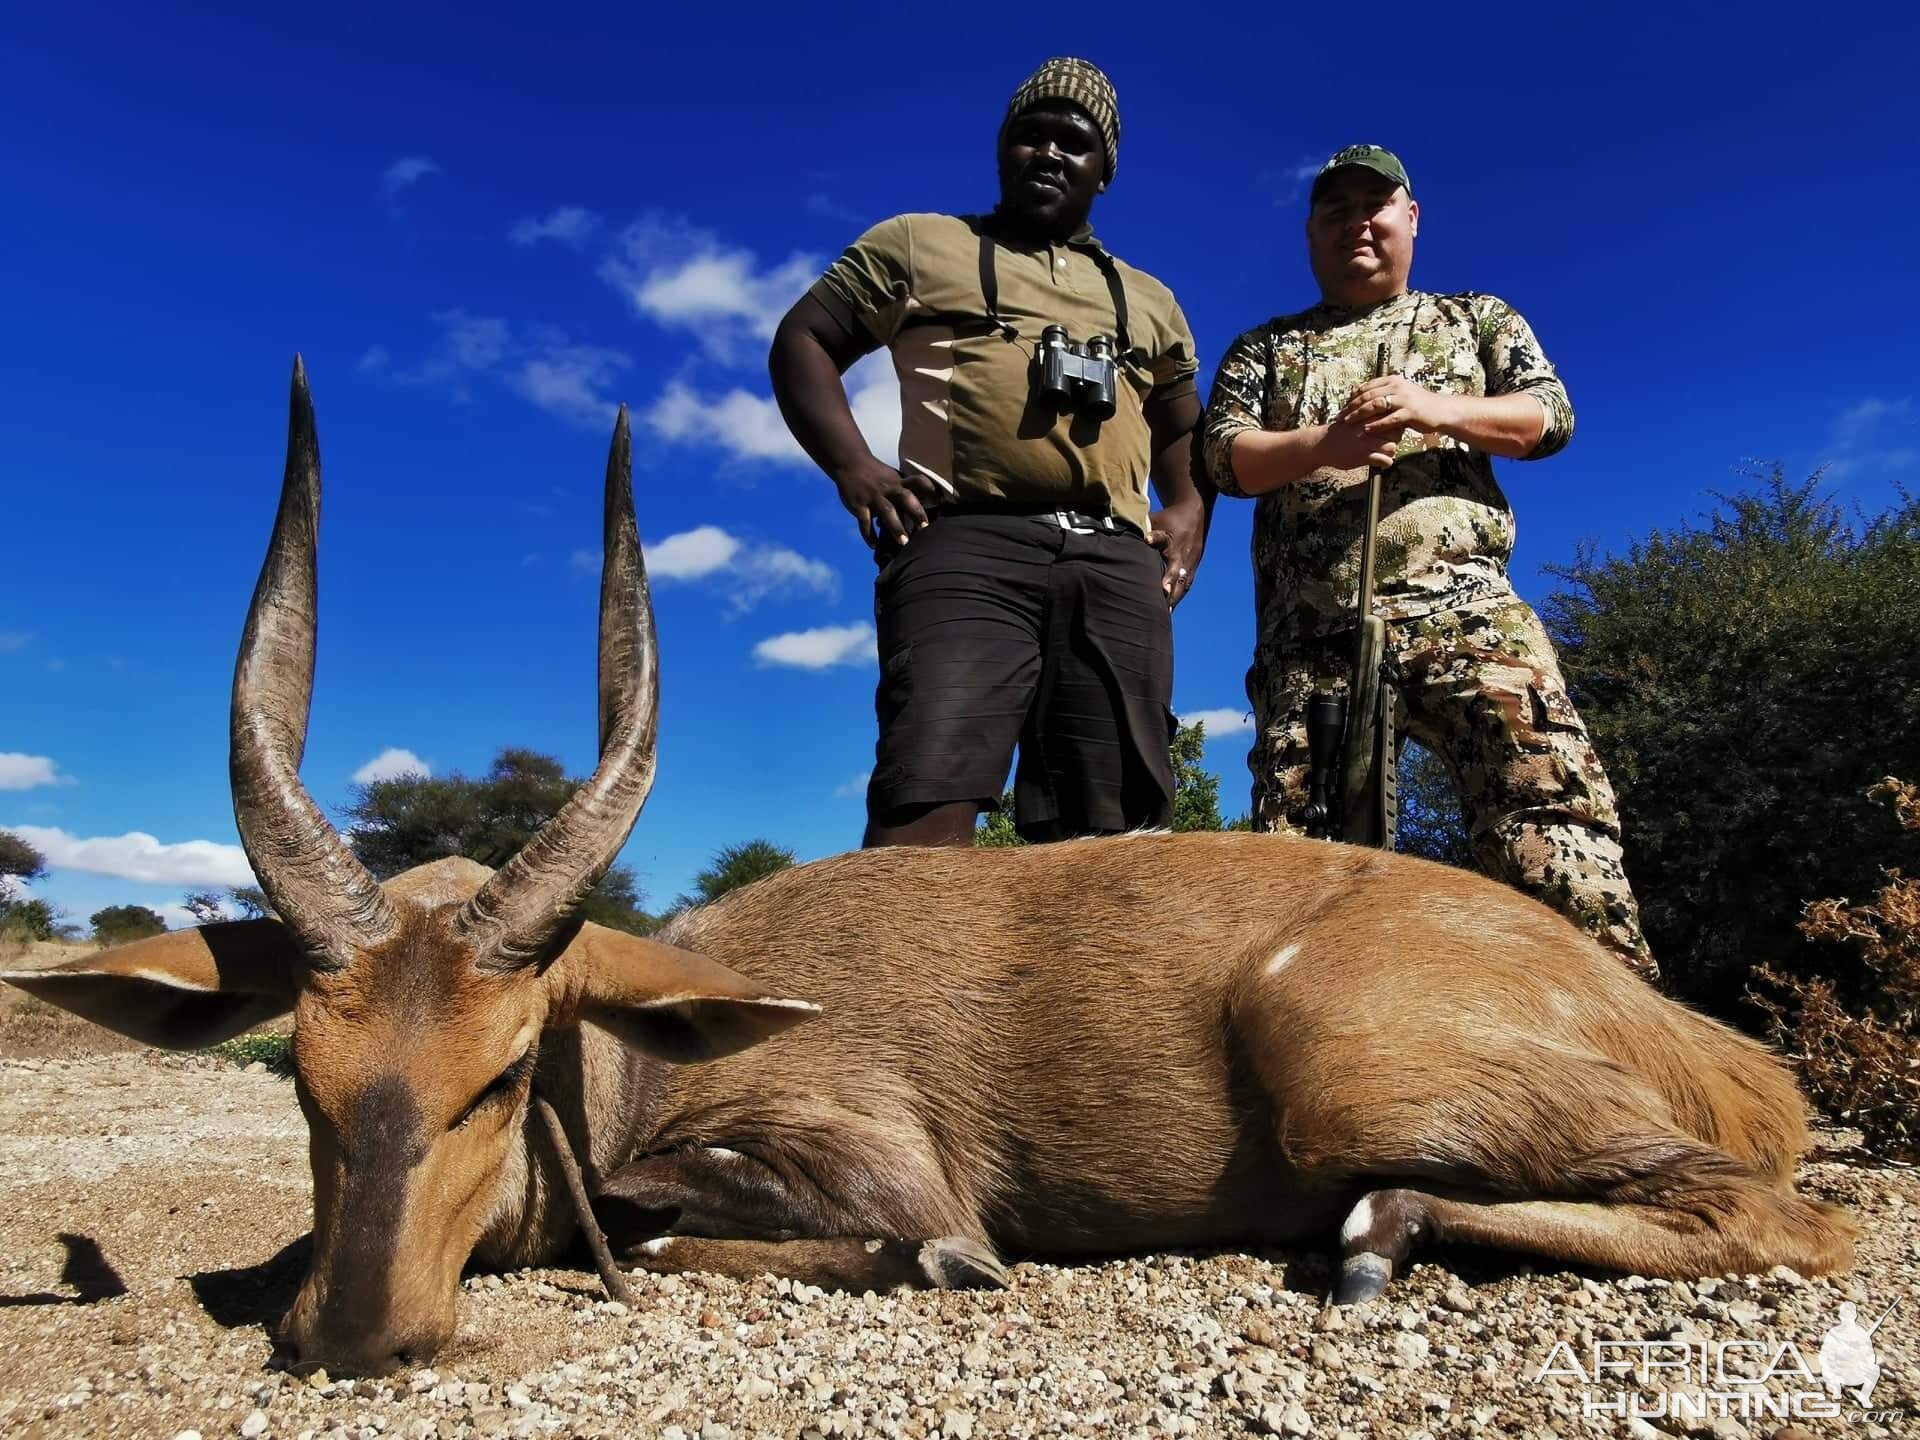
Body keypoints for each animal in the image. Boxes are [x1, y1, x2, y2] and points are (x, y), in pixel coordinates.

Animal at [3, 359, 1858, 1374]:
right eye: (305, 1083)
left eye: (504, 1071)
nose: (360, 1338)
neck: (656, 1044)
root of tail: (1720, 1048)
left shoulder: (873, 1163)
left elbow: (733, 1236)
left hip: (1353, 1076)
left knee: (1791, 1217)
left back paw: (1378, 1236)